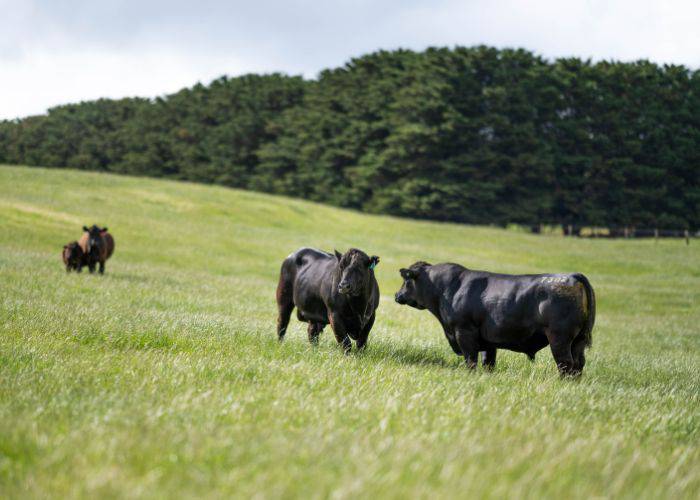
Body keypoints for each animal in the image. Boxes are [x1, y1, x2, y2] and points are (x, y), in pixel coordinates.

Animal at [394, 262, 596, 376]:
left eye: (406, 280)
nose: (397, 295)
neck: (449, 288)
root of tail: (571, 276)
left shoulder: (463, 332)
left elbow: (471, 360)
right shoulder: (488, 340)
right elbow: (488, 362)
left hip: (559, 338)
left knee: (566, 364)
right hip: (579, 340)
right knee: (579, 364)